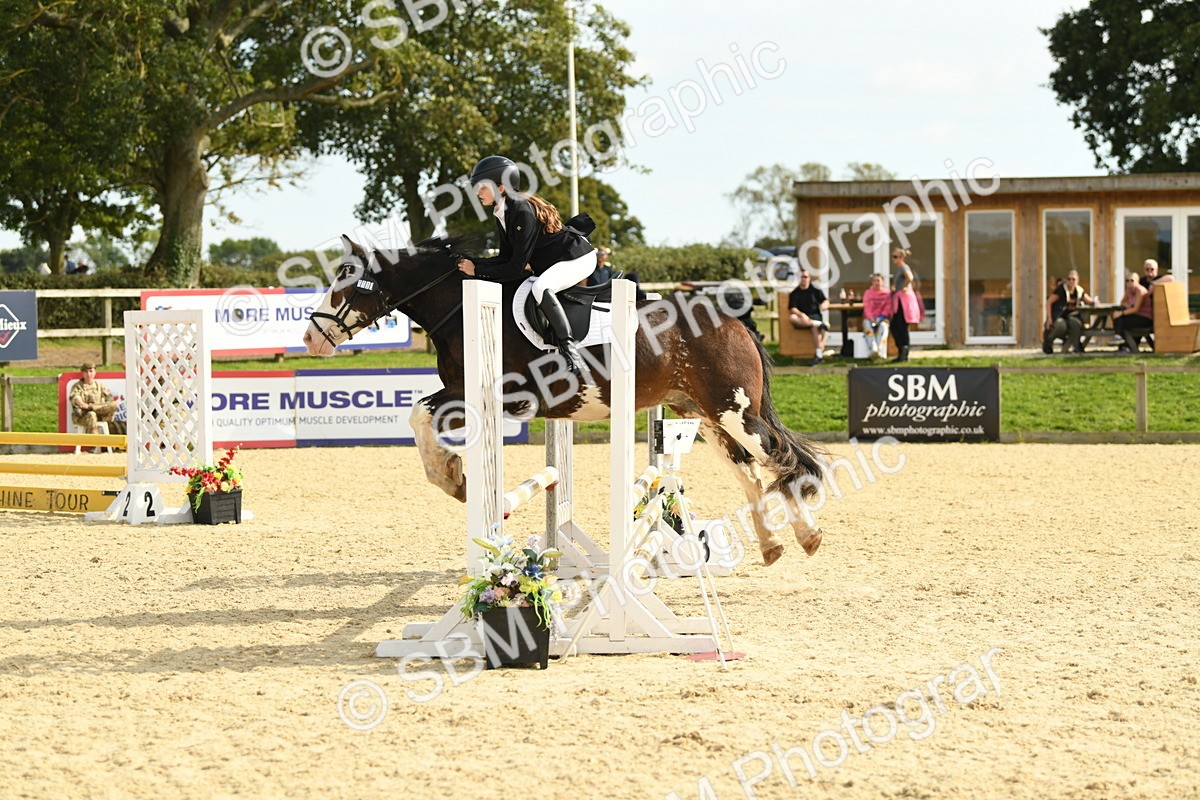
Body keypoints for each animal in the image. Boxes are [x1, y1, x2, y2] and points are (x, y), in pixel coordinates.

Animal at [302, 235, 826, 566]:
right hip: (703, 414)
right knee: (750, 470)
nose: (310, 337)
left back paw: (808, 535)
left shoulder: (488, 397)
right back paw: (772, 545)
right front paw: (454, 476)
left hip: (733, 412)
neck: (458, 307)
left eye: (346, 277)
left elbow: (418, 417)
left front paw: (453, 478)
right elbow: (420, 418)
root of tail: (735, 320)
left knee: (780, 458)